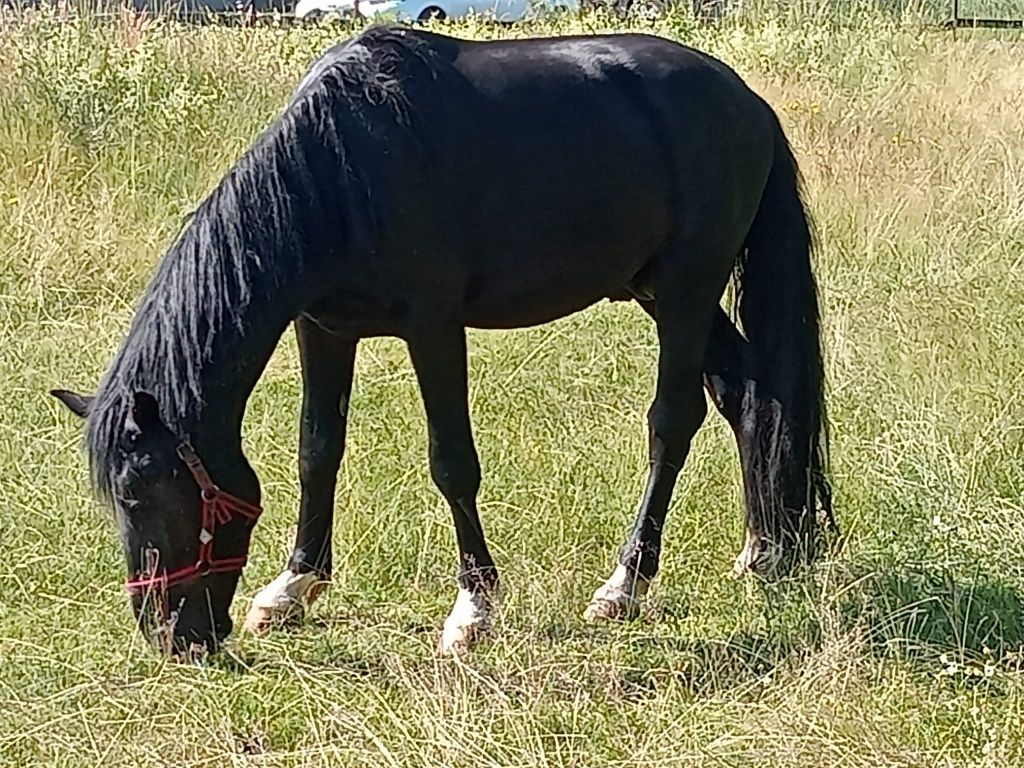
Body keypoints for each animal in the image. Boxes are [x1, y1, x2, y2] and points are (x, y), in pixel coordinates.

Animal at [49, 27, 831, 659]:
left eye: (140, 492)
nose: (170, 638)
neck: (341, 168)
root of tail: (749, 103)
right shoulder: (323, 327)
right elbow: (317, 451)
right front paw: (293, 587)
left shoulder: (432, 325)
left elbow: (452, 462)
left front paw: (473, 609)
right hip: (657, 290)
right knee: (748, 394)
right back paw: (766, 549)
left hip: (689, 287)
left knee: (674, 423)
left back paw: (626, 583)